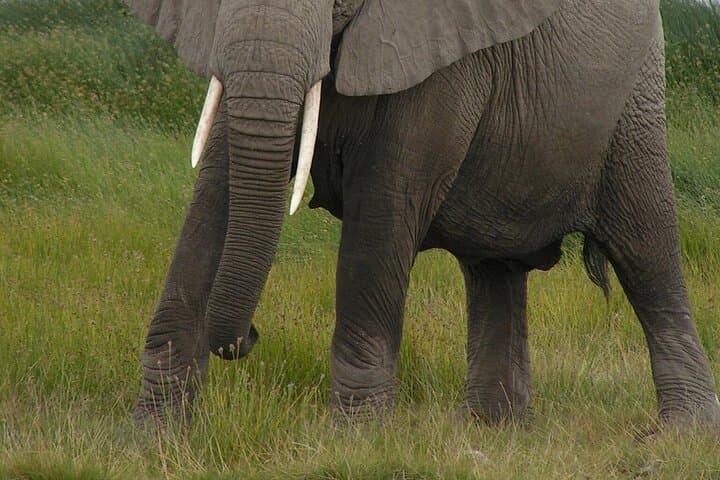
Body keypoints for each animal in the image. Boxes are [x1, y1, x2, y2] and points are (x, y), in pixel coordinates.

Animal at [125, 0, 720, 428]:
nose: (248, 336)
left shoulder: (440, 53)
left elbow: (384, 207)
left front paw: (356, 440)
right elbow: (214, 193)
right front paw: (155, 434)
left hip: (634, 101)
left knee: (646, 251)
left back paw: (681, 432)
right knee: (494, 268)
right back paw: (491, 430)